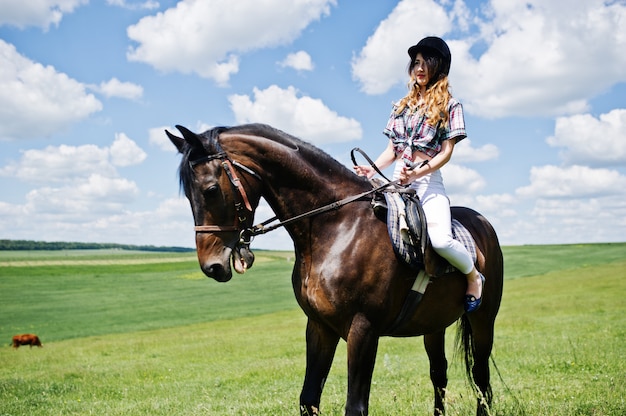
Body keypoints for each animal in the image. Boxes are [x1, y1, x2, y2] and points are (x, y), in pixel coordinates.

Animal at [166, 123, 502, 416]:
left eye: (210, 189)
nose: (211, 265)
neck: (337, 226)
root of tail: (484, 224)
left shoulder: (363, 330)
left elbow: (355, 406)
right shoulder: (319, 327)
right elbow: (308, 399)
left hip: (483, 320)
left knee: (481, 378)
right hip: (433, 325)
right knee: (439, 375)